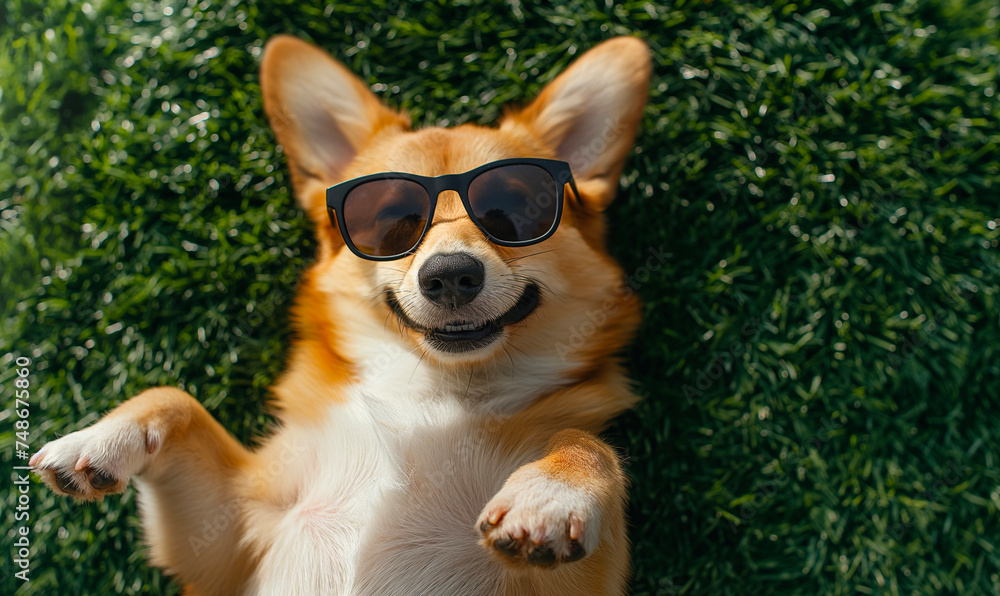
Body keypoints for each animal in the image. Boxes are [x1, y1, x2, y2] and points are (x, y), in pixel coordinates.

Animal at [31, 33, 652, 596]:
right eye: (391, 221)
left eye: (514, 211)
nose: (450, 273)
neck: (435, 394)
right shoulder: (223, 545)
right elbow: (175, 397)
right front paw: (97, 438)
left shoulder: (580, 582)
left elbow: (590, 444)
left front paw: (550, 494)